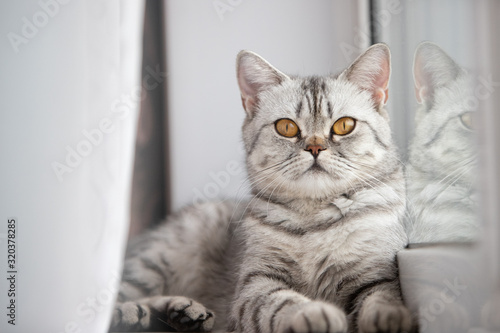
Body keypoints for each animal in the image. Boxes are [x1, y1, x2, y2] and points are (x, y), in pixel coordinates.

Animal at [111, 44, 412, 332]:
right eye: (287, 127)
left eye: (344, 125)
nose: (315, 148)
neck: (314, 215)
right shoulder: (256, 285)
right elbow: (283, 303)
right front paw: (314, 313)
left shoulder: (376, 274)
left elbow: (381, 299)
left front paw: (390, 318)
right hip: (154, 261)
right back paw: (136, 312)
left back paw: (183, 313)